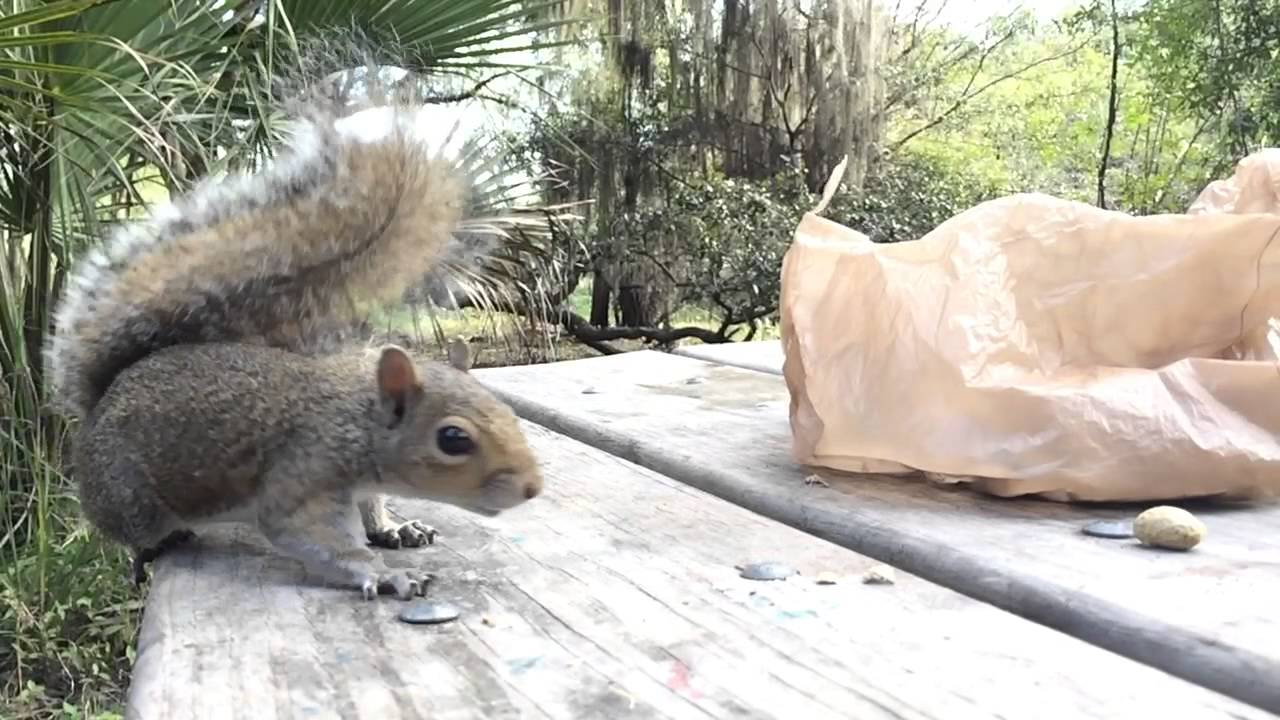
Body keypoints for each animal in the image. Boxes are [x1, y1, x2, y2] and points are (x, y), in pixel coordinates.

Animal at [45, 92, 544, 601]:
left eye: (509, 414)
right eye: (453, 439)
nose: (532, 488)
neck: (357, 421)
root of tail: (106, 394)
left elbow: (370, 510)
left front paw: (393, 529)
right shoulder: (305, 471)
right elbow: (308, 534)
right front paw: (387, 574)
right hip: (130, 497)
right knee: (133, 532)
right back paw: (155, 546)